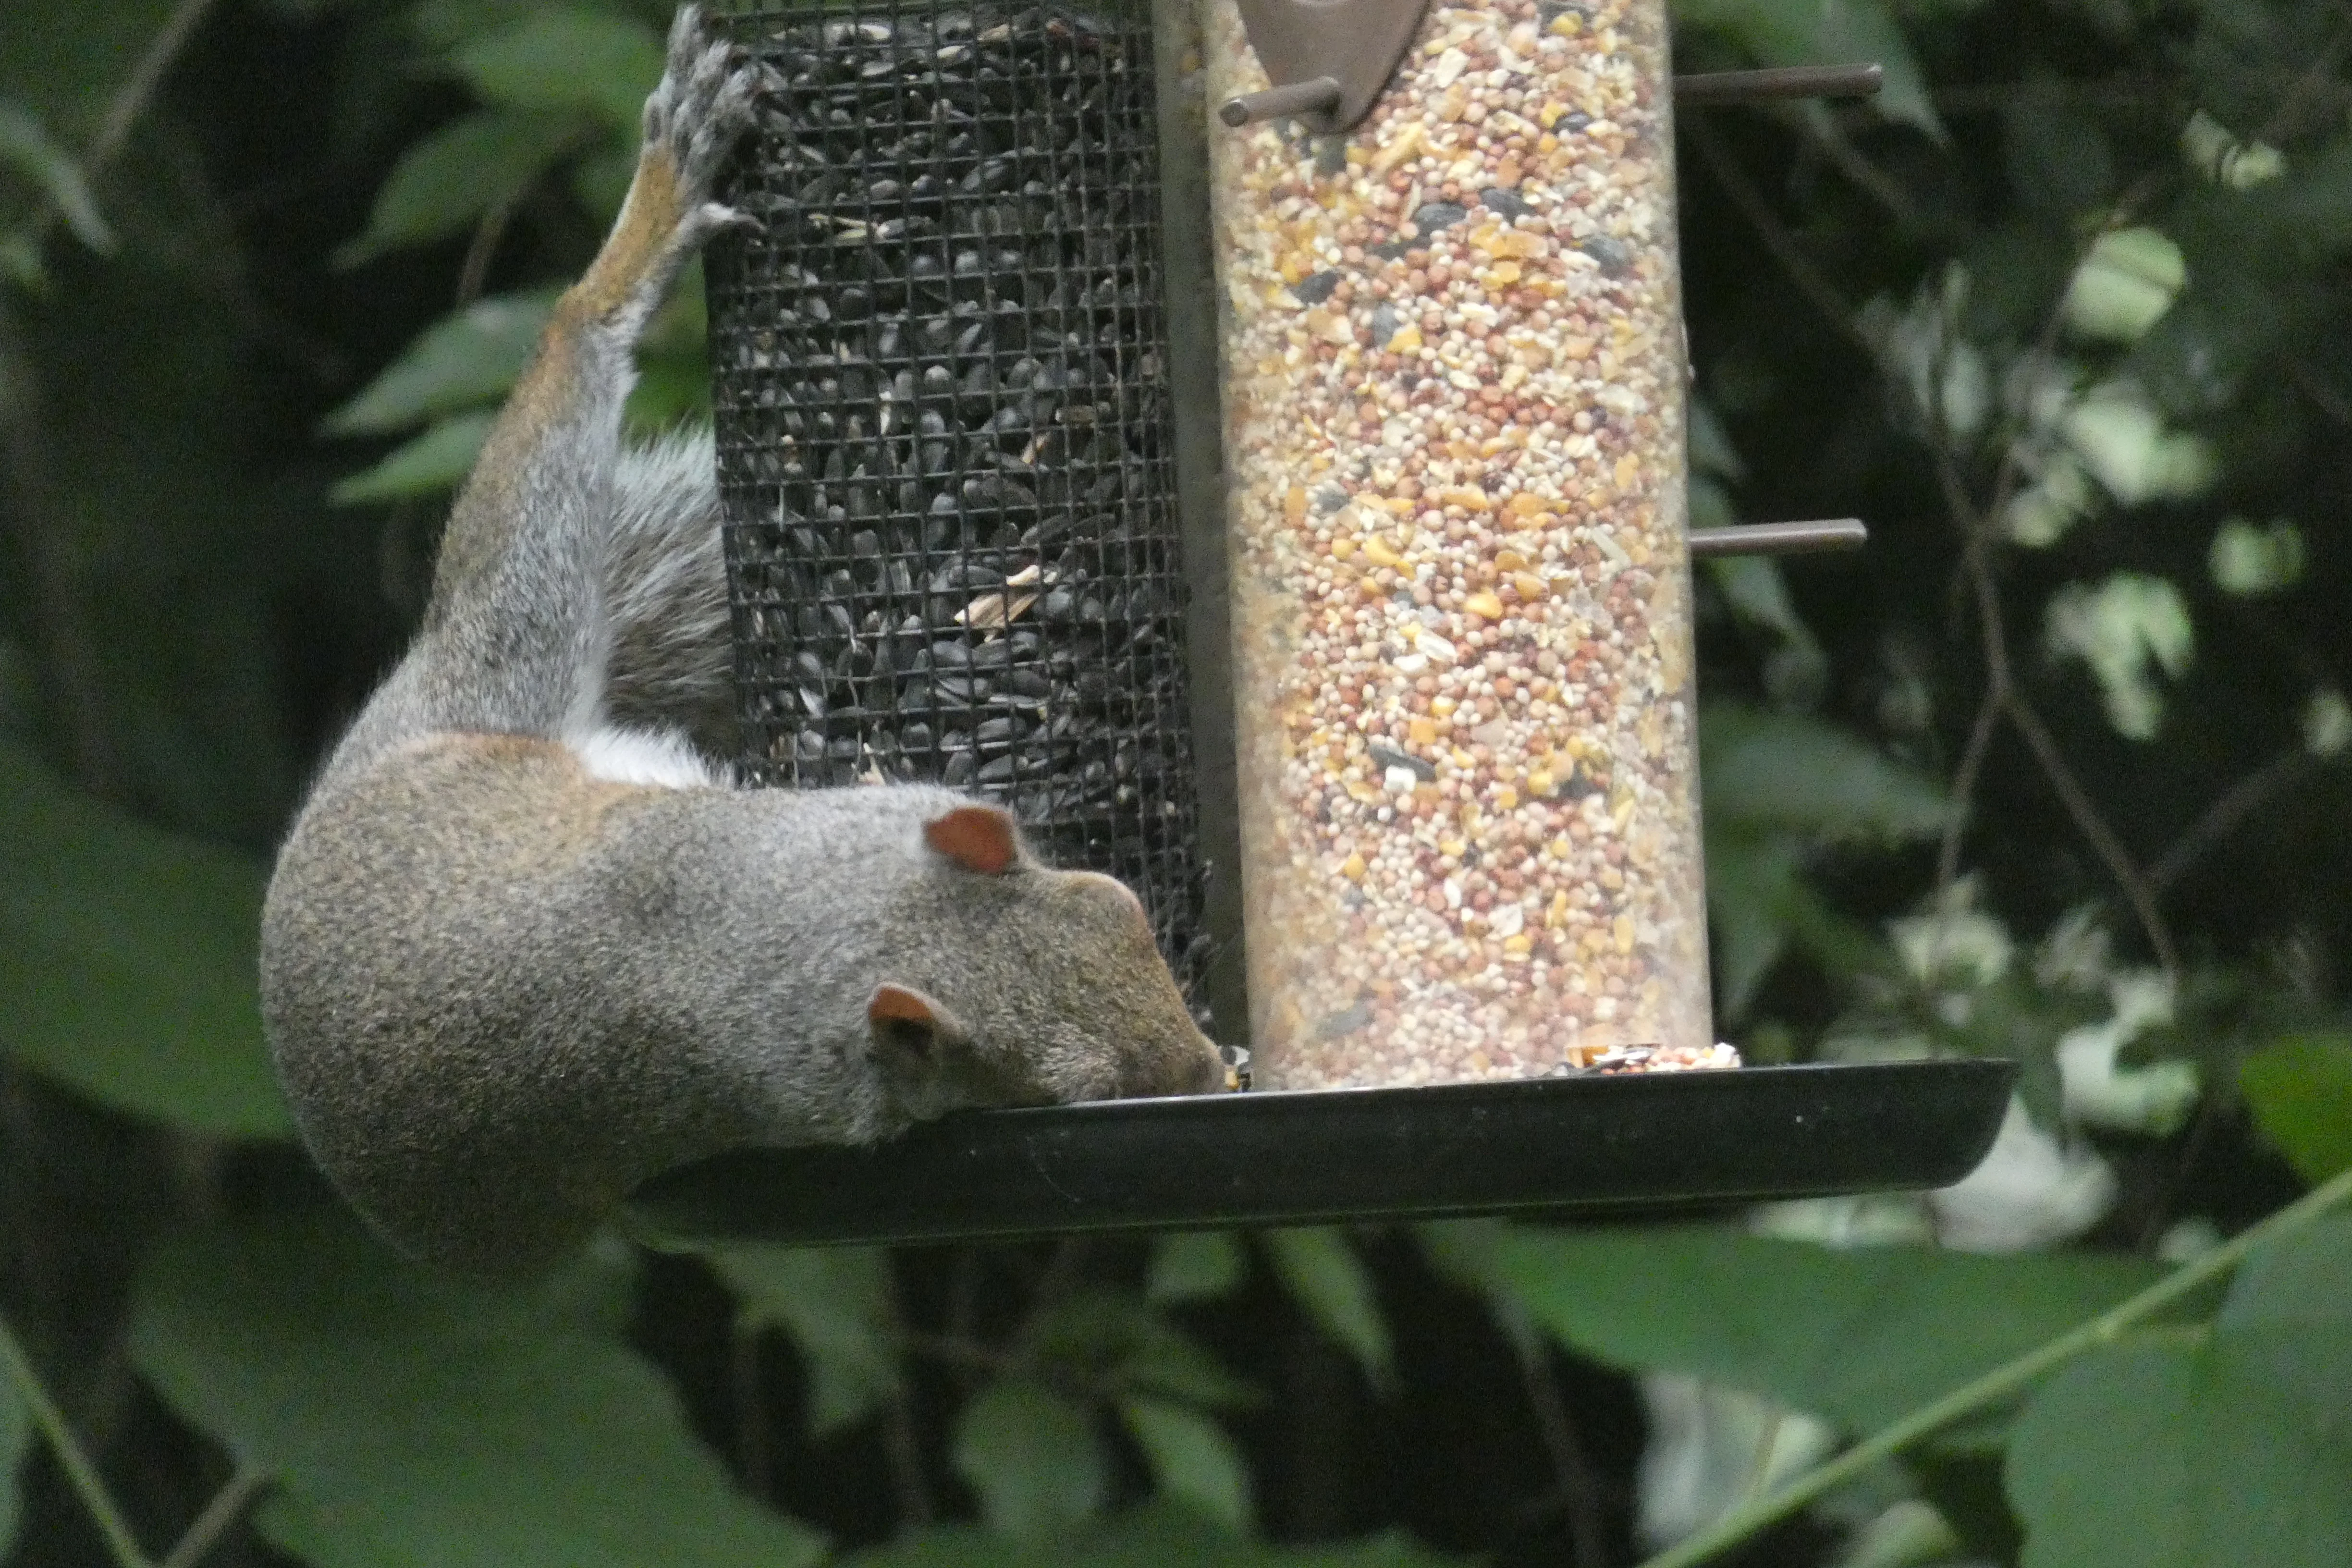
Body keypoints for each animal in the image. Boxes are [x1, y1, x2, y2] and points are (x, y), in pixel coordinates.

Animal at [260, 7, 1223, 1276]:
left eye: (1123, 907)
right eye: (1077, 1093)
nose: (1211, 1076)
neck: (791, 925)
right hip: (503, 666)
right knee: (532, 490)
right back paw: (637, 241)